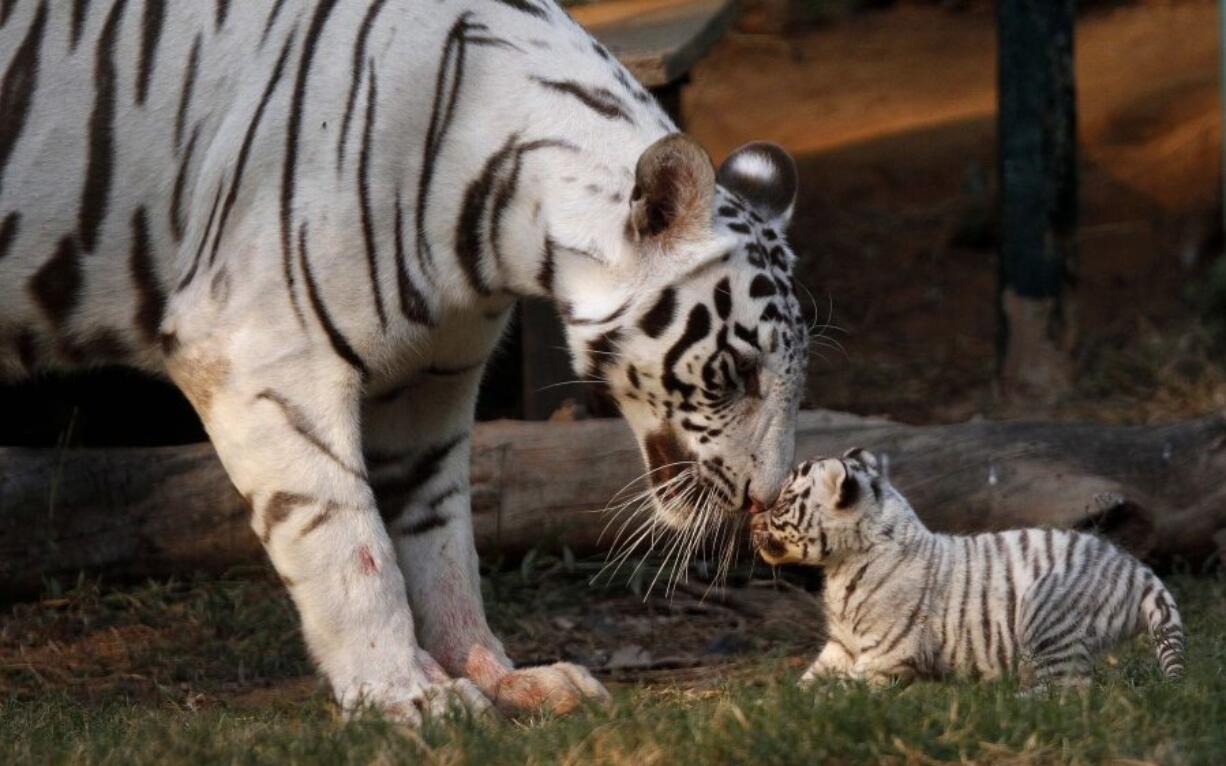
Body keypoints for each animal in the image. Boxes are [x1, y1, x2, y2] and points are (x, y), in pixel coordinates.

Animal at [0, 0, 809, 720]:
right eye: (737, 373)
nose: (765, 500)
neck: (498, 235)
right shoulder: (256, 355)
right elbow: (348, 542)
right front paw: (406, 695)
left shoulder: (431, 380)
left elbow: (442, 542)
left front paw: (501, 678)